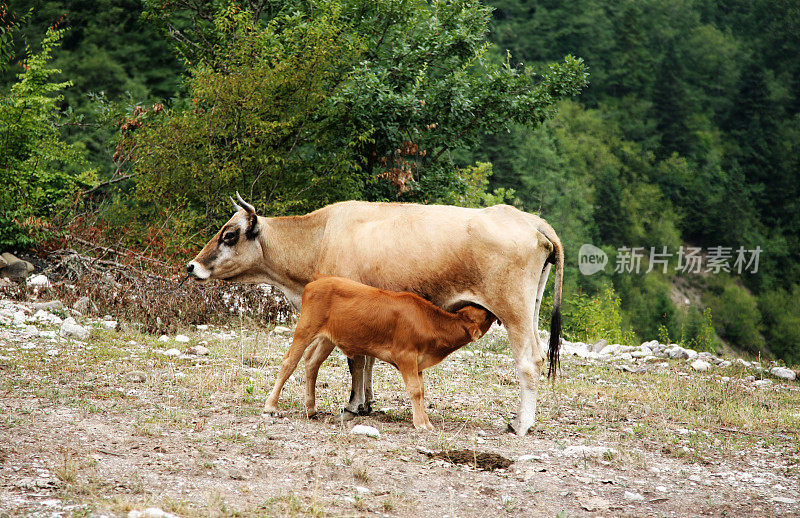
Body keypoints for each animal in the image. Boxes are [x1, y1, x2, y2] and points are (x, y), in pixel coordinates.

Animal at [266, 276, 496, 430]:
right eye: (484, 315)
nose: (490, 309)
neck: (430, 323)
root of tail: (314, 283)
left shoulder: (418, 362)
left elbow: (421, 390)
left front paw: (424, 420)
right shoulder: (406, 356)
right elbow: (415, 390)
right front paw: (421, 424)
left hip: (327, 338)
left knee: (312, 362)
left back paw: (311, 409)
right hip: (305, 329)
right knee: (289, 362)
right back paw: (271, 406)